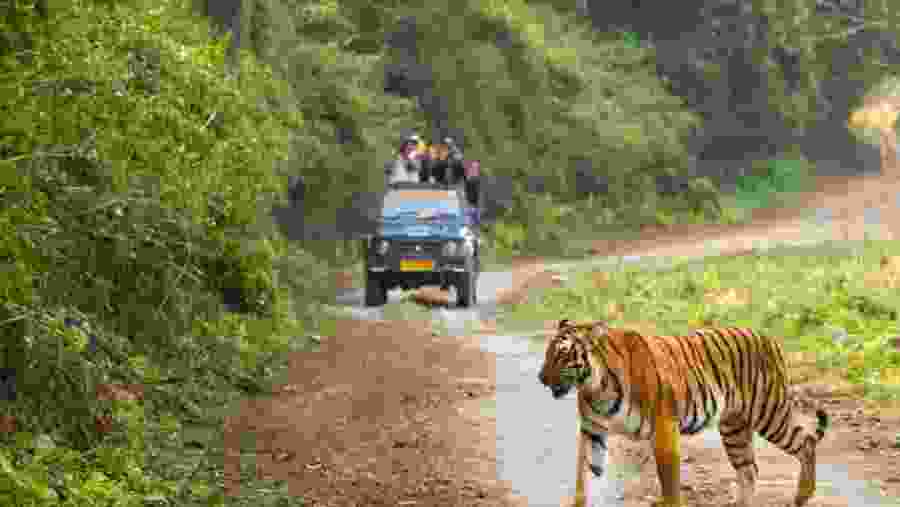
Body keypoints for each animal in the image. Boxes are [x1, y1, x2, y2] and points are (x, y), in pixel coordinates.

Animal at [538, 319, 829, 507]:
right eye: (547, 353)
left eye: (562, 354)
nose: (541, 378)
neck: (594, 385)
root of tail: (769, 338)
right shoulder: (593, 432)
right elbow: (584, 477)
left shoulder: (663, 427)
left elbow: (669, 482)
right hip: (734, 427)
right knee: (749, 469)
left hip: (768, 412)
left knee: (806, 442)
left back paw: (802, 496)